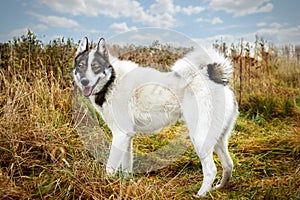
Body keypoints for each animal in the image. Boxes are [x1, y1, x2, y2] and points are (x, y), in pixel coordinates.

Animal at [73, 37, 239, 197]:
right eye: (81, 65)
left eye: (95, 66)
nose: (84, 81)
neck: (112, 81)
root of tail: (215, 76)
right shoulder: (127, 137)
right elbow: (127, 166)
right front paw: (127, 184)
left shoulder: (120, 135)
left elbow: (110, 168)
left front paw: (105, 184)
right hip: (218, 140)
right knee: (228, 165)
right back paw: (220, 187)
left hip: (200, 139)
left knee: (211, 170)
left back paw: (201, 194)